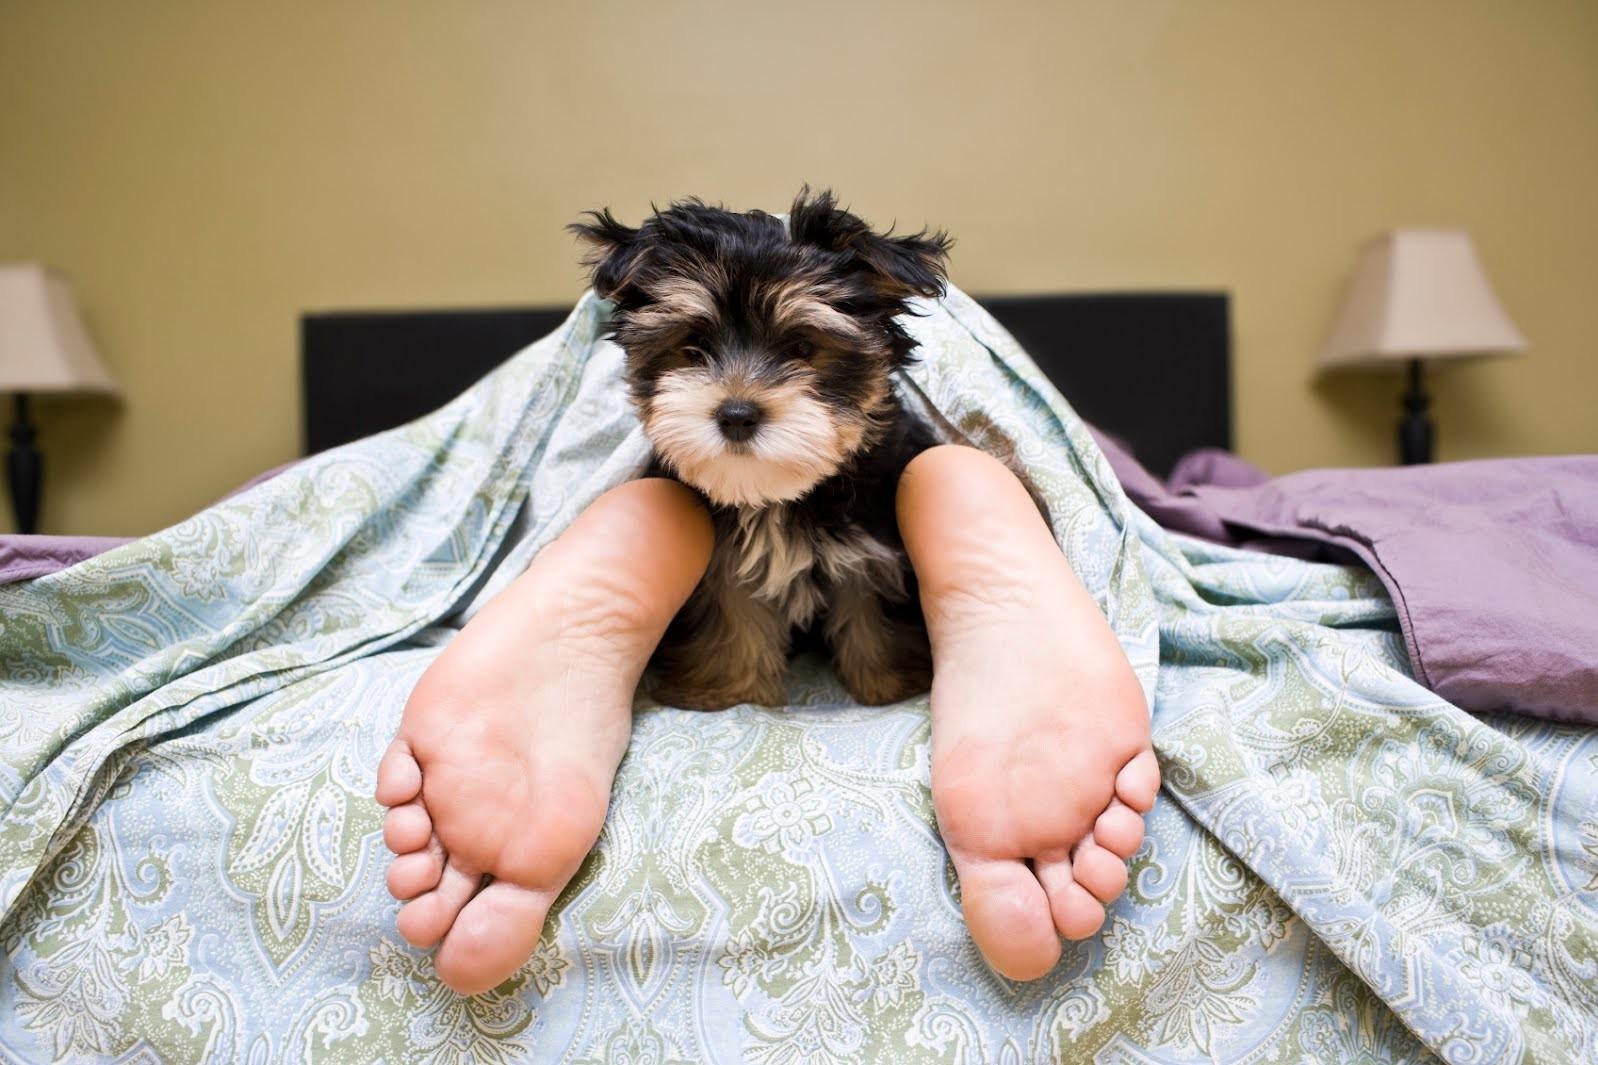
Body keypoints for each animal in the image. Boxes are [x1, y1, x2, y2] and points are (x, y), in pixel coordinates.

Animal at [572, 188, 946, 703]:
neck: (773, 497)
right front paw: (730, 691)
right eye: (693, 347)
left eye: (804, 348)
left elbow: (873, 610)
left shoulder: (875, 547)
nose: (736, 414)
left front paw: (889, 685)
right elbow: (734, 618)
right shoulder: (723, 567)